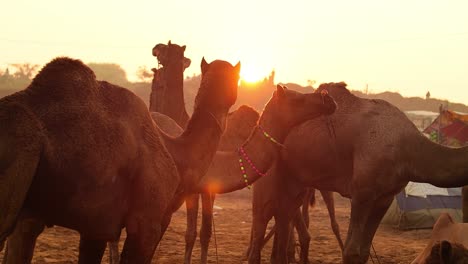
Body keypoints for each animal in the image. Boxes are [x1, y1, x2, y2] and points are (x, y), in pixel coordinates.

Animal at [249, 81, 468, 262]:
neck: (408, 147)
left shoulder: (385, 197)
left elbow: (362, 252)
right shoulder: (362, 192)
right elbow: (351, 251)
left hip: (295, 183)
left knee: (284, 219)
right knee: (261, 222)